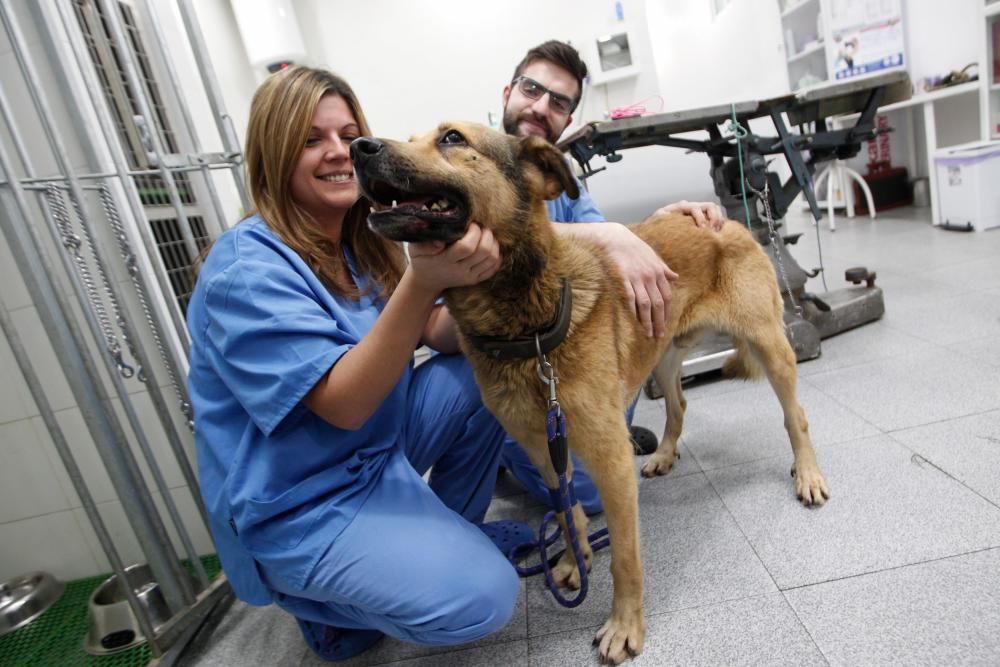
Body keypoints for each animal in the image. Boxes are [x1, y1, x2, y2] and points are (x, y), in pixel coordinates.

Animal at [352, 124, 828, 664]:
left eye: (452, 137)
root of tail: (728, 221)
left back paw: (807, 474)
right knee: (679, 404)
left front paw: (624, 627)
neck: (528, 329)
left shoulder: (610, 460)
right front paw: (573, 562)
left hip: (770, 346)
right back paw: (664, 454)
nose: (358, 148)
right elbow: (566, 510)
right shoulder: (544, 449)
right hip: (661, 356)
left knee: (795, 415)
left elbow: (625, 559)